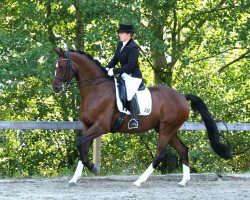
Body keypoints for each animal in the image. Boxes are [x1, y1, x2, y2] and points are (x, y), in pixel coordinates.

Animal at [52, 48, 232, 188]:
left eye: (62, 67)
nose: (55, 88)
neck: (96, 90)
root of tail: (182, 96)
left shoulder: (101, 127)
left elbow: (80, 143)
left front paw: (93, 168)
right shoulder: (87, 126)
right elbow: (82, 146)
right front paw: (74, 179)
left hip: (166, 129)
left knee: (159, 154)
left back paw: (139, 181)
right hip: (167, 129)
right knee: (183, 149)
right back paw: (183, 181)